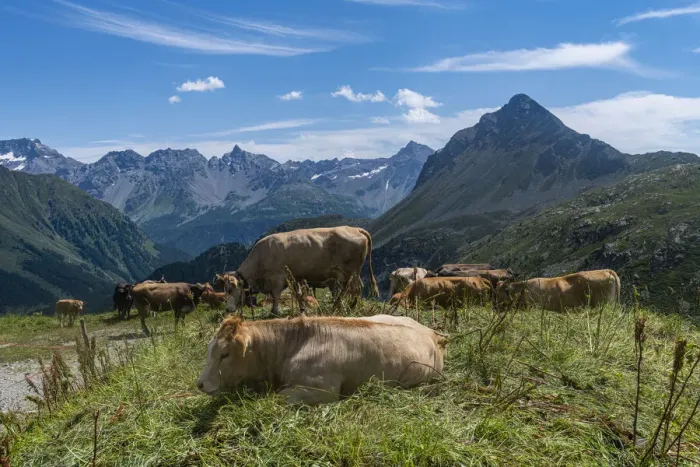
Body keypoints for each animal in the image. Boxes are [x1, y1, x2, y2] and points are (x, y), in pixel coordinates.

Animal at [196, 314, 447, 405]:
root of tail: (432, 333)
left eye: (225, 354)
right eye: (208, 349)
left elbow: (280, 396)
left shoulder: (325, 390)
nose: (200, 384)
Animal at [223, 226, 379, 317]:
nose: (227, 309)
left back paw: (351, 306)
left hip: (351, 270)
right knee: (348, 289)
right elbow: (298, 295)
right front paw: (302, 309)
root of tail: (355, 229)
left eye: (230, 290)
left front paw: (274, 311)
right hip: (347, 273)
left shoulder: (277, 278)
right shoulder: (294, 277)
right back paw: (339, 305)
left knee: (356, 288)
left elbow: (276, 296)